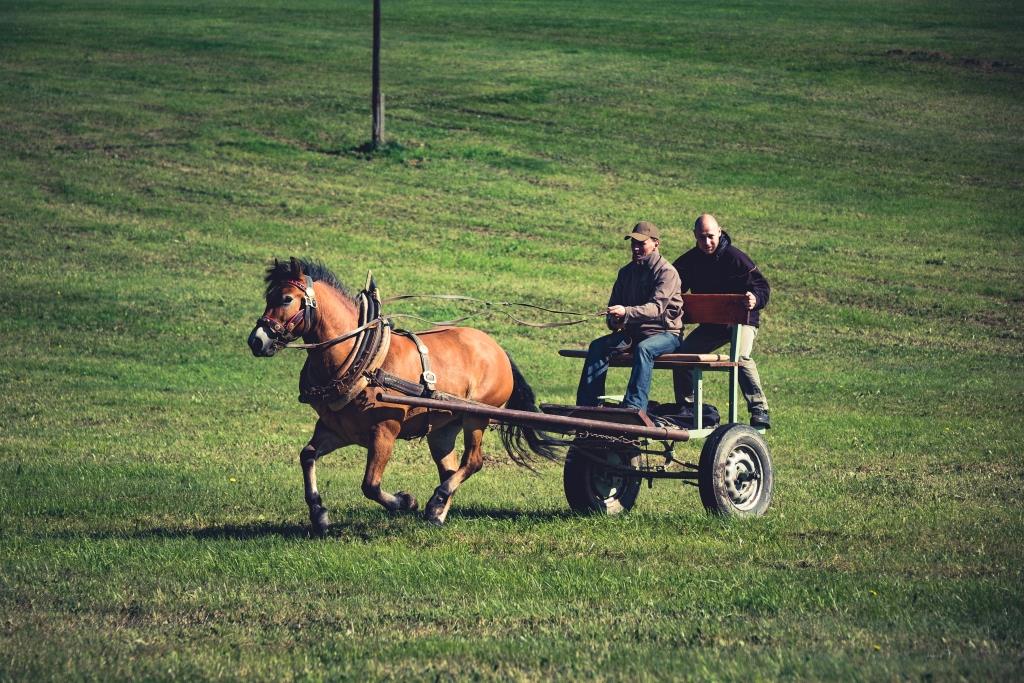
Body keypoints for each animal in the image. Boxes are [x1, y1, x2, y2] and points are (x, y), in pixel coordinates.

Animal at [246, 259, 557, 532]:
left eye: (286, 299)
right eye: (269, 296)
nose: (256, 341)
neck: (364, 360)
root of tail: (497, 349)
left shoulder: (384, 431)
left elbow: (370, 485)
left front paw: (405, 501)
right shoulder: (337, 430)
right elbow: (307, 455)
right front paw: (319, 514)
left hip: (476, 418)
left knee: (473, 461)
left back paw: (435, 503)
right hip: (443, 428)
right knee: (450, 468)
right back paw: (437, 510)